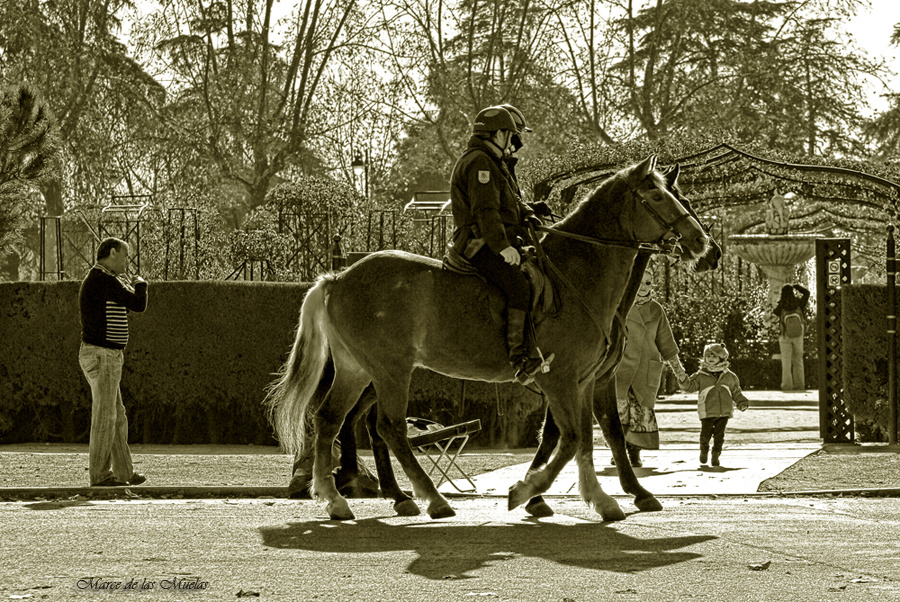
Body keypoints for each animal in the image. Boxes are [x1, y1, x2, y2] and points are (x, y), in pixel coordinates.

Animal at [268, 157, 712, 516]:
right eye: (656, 195)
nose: (702, 242)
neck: (576, 275)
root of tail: (339, 276)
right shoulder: (560, 380)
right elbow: (569, 439)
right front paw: (528, 491)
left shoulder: (585, 382)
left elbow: (586, 438)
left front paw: (599, 498)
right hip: (389, 371)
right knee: (388, 427)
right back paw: (428, 498)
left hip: (358, 369)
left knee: (331, 418)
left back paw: (338, 498)